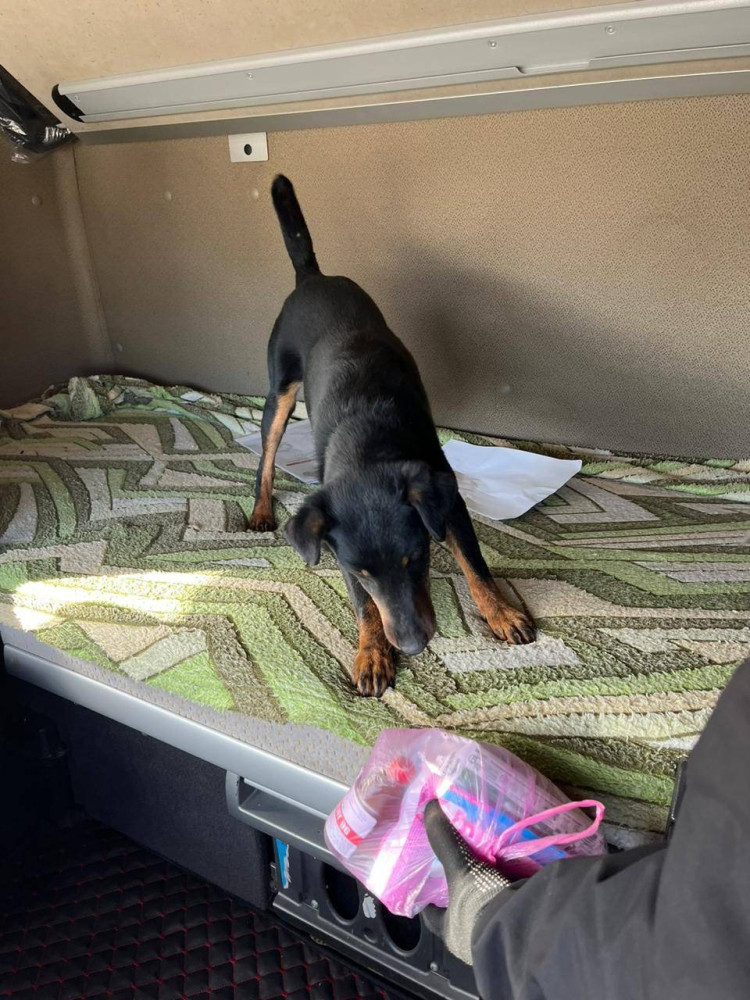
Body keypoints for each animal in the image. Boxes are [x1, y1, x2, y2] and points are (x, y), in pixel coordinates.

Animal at [248, 176, 536, 696]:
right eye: (361, 572)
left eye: (416, 558)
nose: (415, 645)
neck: (368, 444)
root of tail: (312, 277)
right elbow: (365, 607)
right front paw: (372, 652)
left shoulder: (446, 498)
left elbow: (475, 564)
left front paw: (501, 613)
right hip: (278, 392)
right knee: (265, 455)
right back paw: (260, 510)